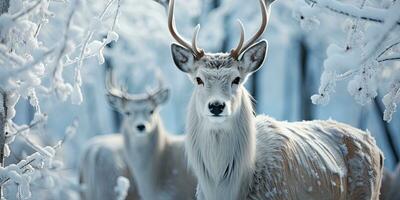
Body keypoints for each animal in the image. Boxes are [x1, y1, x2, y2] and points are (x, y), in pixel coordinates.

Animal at [166, 0, 384, 199]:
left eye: (236, 79)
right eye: (199, 79)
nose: (217, 106)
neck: (226, 190)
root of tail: (377, 148)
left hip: (367, 191)